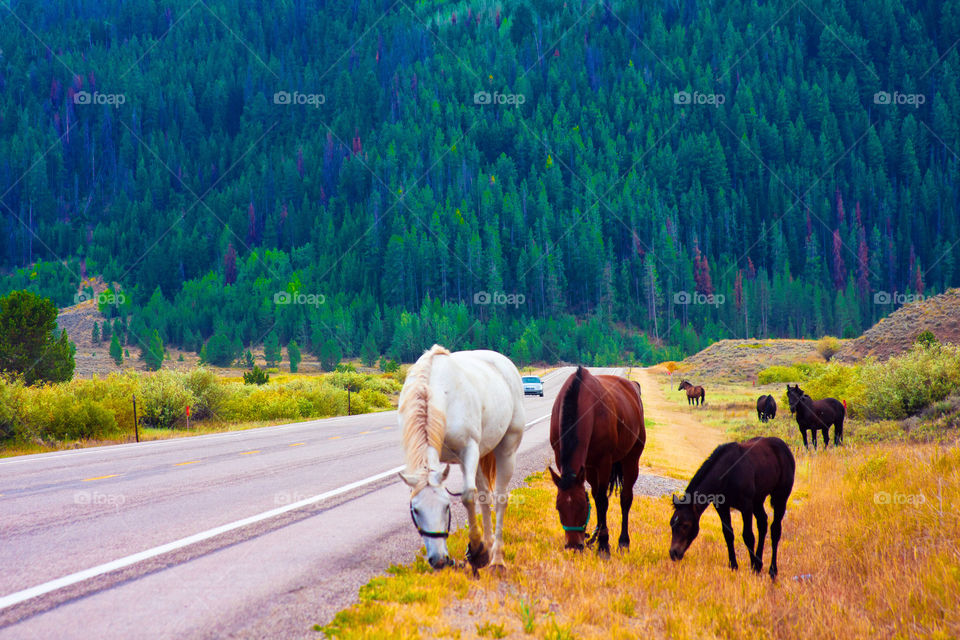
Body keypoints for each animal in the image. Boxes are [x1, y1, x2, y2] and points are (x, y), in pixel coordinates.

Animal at [398, 345, 525, 572]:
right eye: (416, 510)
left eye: (447, 507)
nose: (439, 560)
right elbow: (477, 496)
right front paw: (481, 549)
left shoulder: (469, 449)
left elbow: (467, 496)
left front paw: (476, 550)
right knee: (485, 496)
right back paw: (489, 545)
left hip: (506, 449)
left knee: (500, 499)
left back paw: (497, 559)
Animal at [549, 366, 645, 555]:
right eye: (558, 507)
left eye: (581, 507)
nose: (573, 546)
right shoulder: (565, 460)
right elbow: (595, 498)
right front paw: (596, 537)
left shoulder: (604, 462)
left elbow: (602, 501)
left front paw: (604, 544)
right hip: (590, 468)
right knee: (596, 493)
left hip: (631, 460)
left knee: (625, 498)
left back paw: (623, 542)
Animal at [669, 437, 795, 580]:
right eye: (672, 524)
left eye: (686, 525)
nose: (674, 553)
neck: (727, 473)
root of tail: (784, 447)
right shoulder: (722, 507)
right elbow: (728, 534)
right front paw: (734, 566)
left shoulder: (746, 506)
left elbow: (748, 536)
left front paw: (752, 567)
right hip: (758, 500)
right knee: (763, 523)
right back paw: (759, 564)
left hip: (780, 497)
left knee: (775, 530)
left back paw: (772, 570)